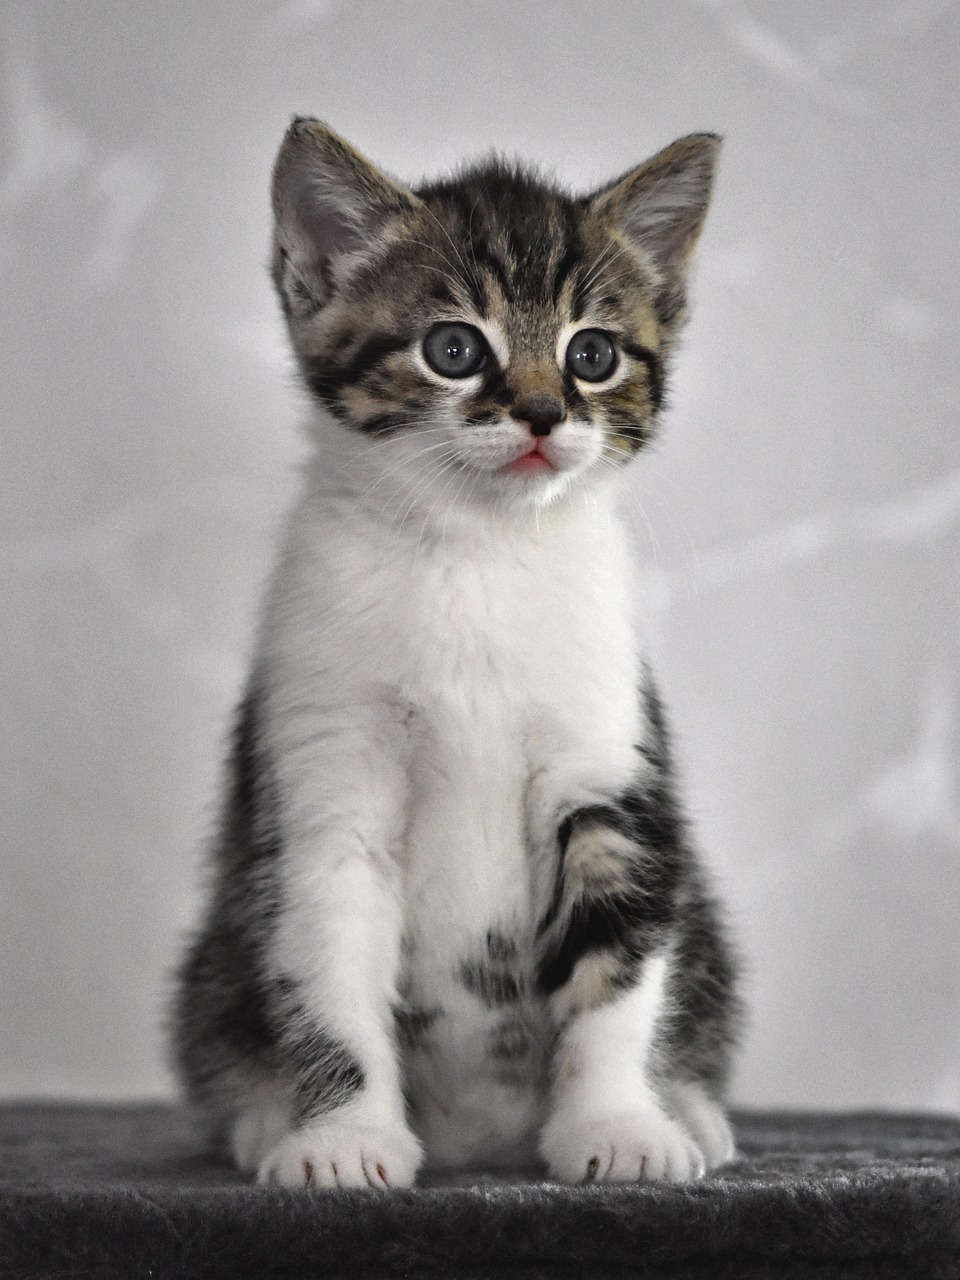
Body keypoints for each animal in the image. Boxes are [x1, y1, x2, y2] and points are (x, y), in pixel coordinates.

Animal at [171, 120, 742, 1187]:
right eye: (454, 348)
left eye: (592, 353)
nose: (543, 412)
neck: (477, 551)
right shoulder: (324, 773)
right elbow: (325, 969)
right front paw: (344, 1140)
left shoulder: (608, 763)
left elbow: (618, 964)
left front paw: (618, 1126)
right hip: (211, 963)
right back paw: (265, 1118)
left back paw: (687, 1108)